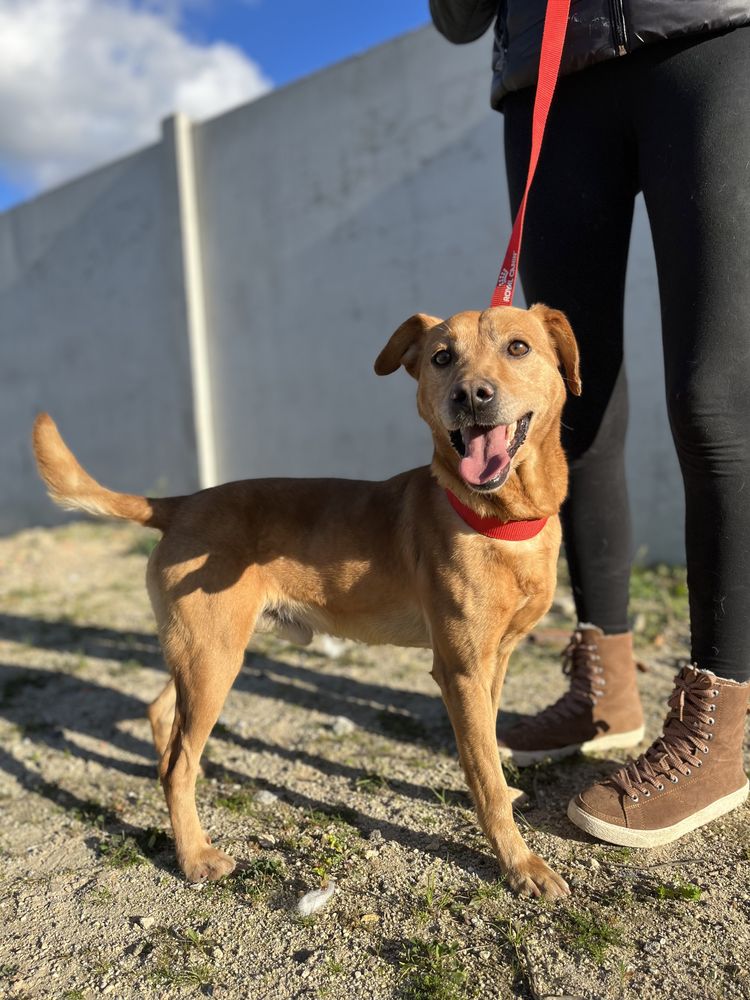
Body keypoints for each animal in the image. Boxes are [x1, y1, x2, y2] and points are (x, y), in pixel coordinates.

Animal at [33, 304, 580, 900]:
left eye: (518, 347)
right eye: (442, 357)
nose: (471, 395)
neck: (499, 519)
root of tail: (179, 503)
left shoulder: (494, 661)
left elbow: (486, 755)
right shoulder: (460, 670)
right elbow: (485, 773)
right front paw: (519, 863)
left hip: (205, 650)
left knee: (162, 718)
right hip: (214, 659)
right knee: (177, 764)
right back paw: (194, 854)